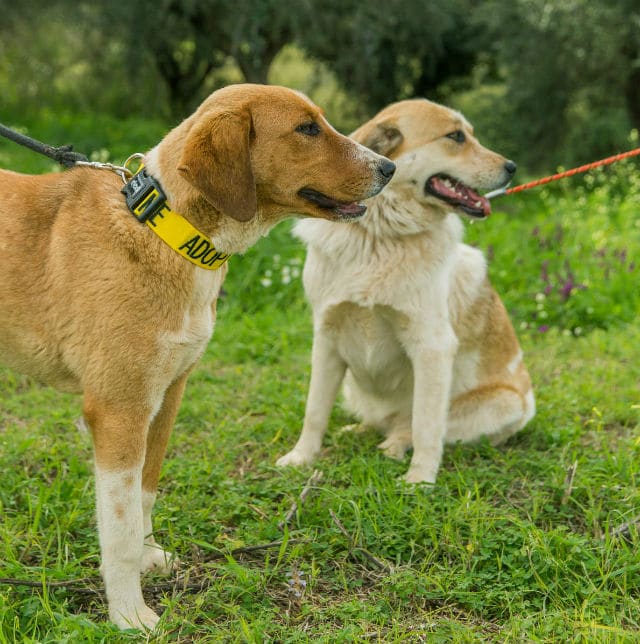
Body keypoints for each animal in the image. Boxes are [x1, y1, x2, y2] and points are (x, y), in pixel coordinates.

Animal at [0, 84, 396, 628]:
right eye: (307, 128)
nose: (390, 168)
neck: (167, 232)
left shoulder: (167, 396)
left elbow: (144, 494)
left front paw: (149, 559)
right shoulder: (118, 411)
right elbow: (119, 529)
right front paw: (130, 615)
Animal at [278, 98, 532, 484]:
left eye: (469, 134)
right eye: (456, 136)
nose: (512, 168)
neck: (380, 235)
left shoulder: (432, 346)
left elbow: (426, 425)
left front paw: (420, 480)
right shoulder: (326, 337)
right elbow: (315, 410)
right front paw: (301, 457)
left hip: (502, 403)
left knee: (408, 426)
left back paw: (393, 446)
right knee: (379, 421)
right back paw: (358, 431)